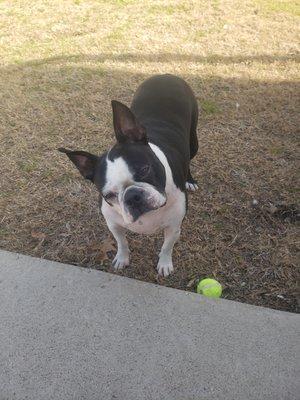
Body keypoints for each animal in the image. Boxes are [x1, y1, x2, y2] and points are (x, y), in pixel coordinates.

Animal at [59, 73, 198, 276]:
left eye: (145, 169)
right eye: (108, 195)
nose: (133, 196)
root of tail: (165, 75)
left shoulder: (174, 227)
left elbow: (166, 247)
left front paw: (164, 264)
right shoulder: (113, 224)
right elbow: (121, 242)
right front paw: (122, 258)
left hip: (193, 141)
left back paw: (190, 180)